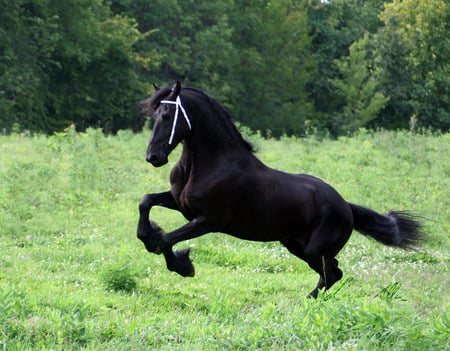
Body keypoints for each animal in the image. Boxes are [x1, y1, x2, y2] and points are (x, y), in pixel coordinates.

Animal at [137, 83, 422, 300]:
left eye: (166, 116)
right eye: (154, 116)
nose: (153, 157)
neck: (212, 163)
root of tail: (347, 207)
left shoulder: (208, 221)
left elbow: (167, 240)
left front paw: (183, 265)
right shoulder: (180, 203)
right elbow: (146, 202)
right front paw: (149, 234)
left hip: (314, 251)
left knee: (331, 274)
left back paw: (307, 301)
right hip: (296, 245)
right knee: (334, 273)